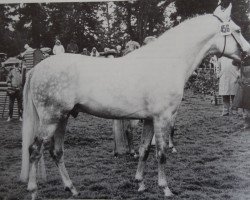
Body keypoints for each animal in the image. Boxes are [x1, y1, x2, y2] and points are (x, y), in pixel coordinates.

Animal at [20, 3, 250, 199]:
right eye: (238, 30)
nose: (247, 54)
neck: (166, 62)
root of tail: (36, 69)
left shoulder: (149, 119)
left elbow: (144, 150)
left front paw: (140, 183)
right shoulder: (162, 118)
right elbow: (161, 153)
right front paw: (165, 188)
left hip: (63, 118)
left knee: (56, 152)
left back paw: (72, 188)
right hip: (50, 119)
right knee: (35, 150)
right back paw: (33, 191)